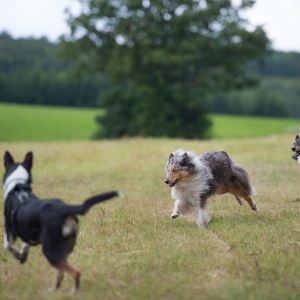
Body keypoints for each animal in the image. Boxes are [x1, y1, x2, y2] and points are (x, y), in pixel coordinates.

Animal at [2, 151, 122, 292]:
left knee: (74, 272)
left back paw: (72, 292)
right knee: (62, 272)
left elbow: (7, 246)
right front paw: (23, 255)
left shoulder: (10, 231)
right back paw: (55, 290)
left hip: (50, 251)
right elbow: (24, 245)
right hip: (63, 248)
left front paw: (19, 256)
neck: (19, 187)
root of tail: (64, 209)